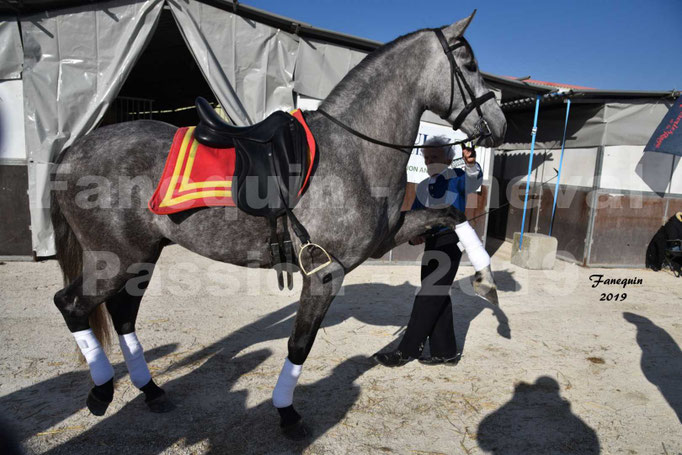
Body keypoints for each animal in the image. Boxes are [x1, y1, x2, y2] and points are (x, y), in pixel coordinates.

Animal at [50, 12, 506, 439]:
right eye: (468, 62)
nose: (500, 125)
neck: (353, 151)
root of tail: (73, 151)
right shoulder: (325, 273)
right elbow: (299, 344)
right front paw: (287, 413)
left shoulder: (385, 238)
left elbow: (453, 215)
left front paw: (486, 280)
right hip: (115, 262)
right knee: (71, 305)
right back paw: (102, 391)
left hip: (141, 258)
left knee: (122, 315)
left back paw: (151, 390)